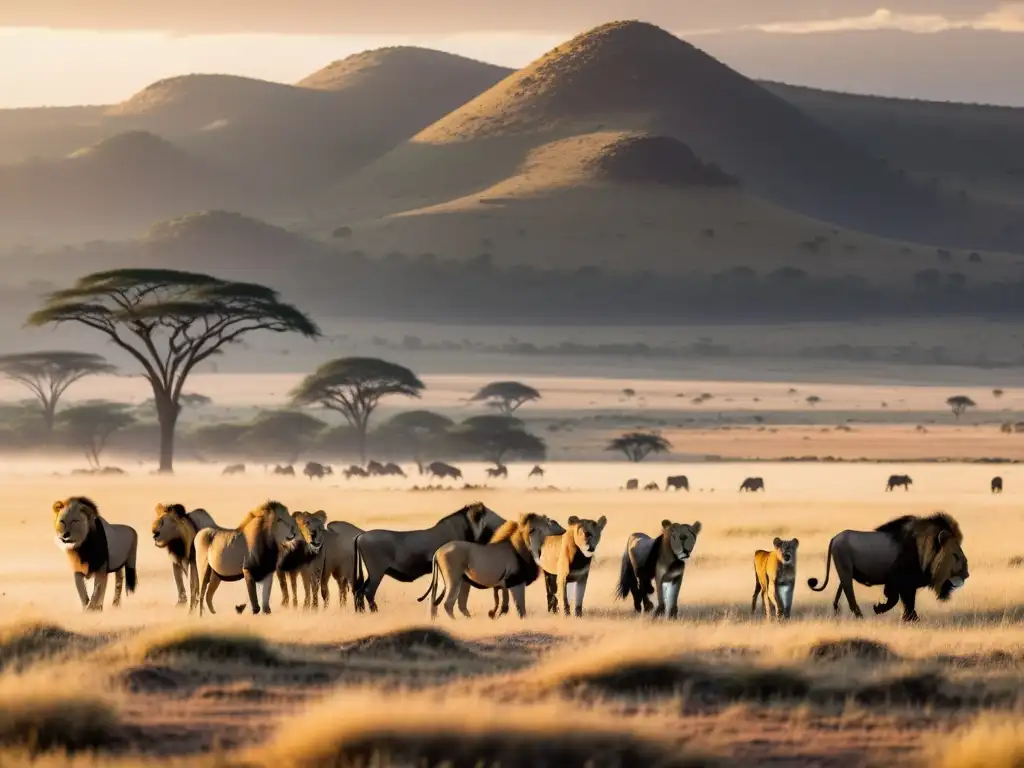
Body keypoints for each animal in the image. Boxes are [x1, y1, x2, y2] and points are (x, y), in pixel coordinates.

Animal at [806, 514, 966, 622]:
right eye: (956, 555)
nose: (967, 574)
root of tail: (834, 538)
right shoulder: (900, 580)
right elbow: (899, 599)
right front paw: (881, 610)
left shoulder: (906, 584)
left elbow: (908, 601)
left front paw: (910, 618)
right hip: (845, 570)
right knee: (849, 594)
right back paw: (860, 616)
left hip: (845, 572)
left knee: (840, 592)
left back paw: (837, 611)